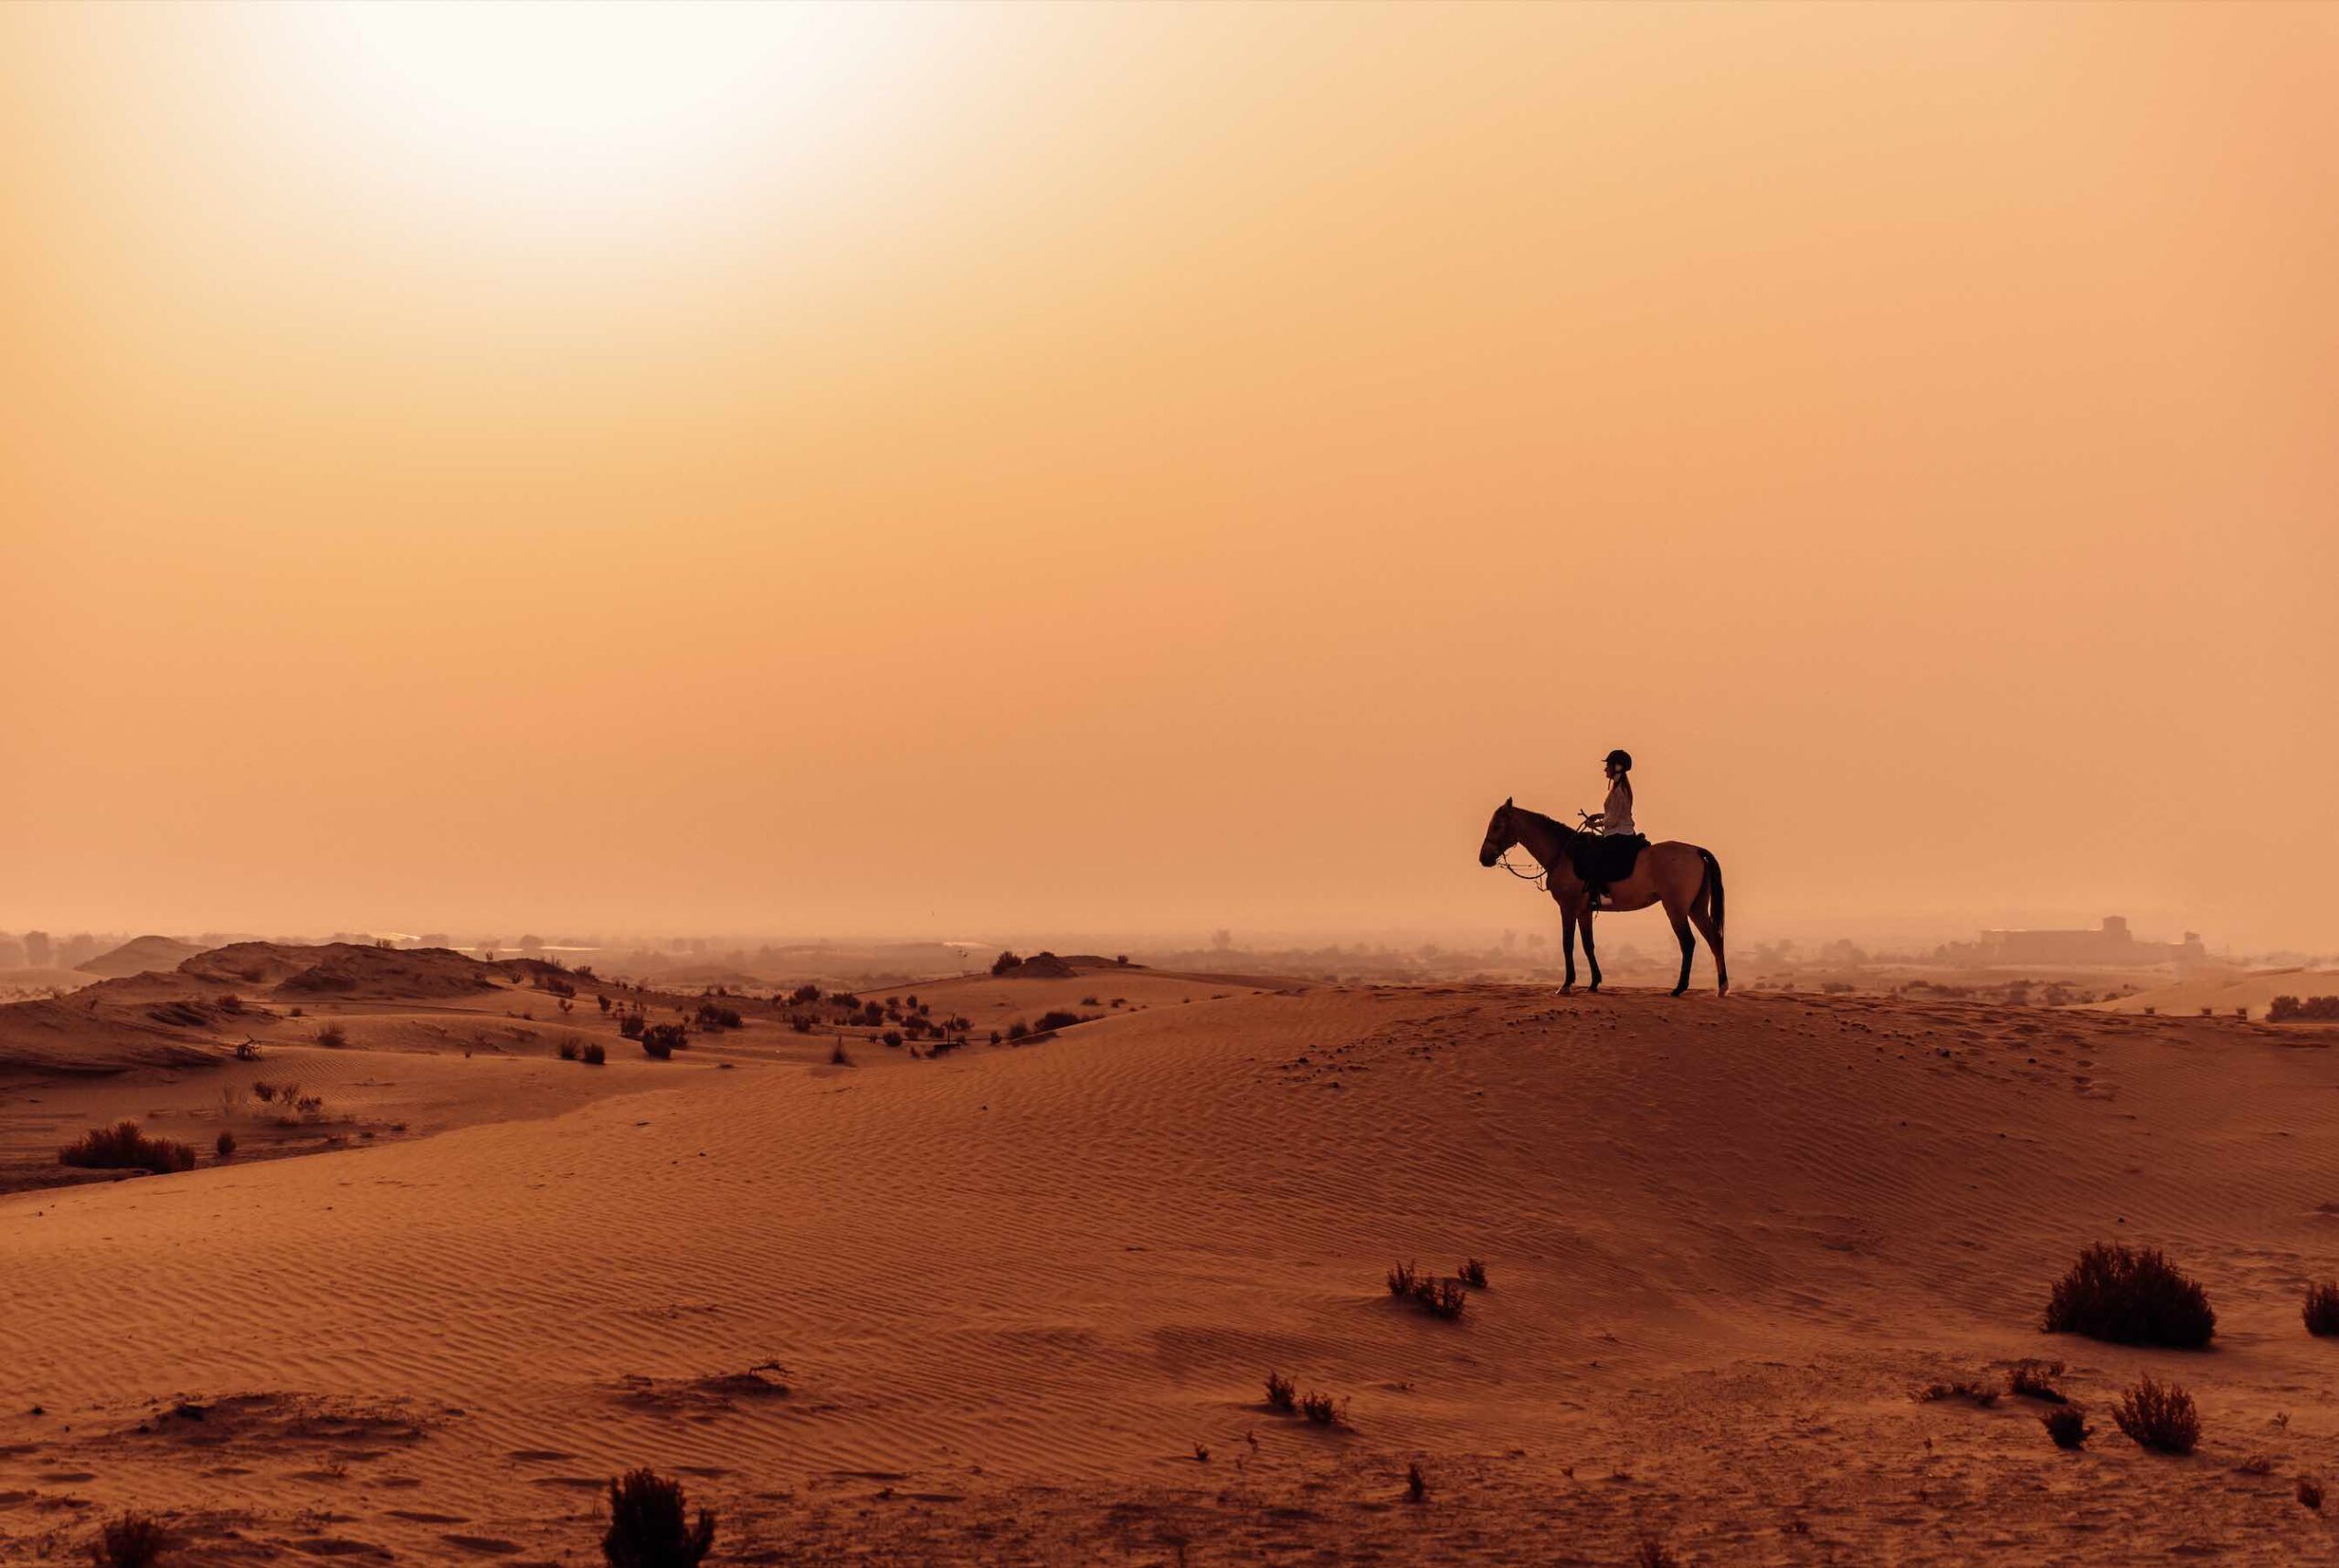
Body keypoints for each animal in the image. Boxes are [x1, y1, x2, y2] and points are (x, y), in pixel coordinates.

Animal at [1468, 805, 1730, 1001]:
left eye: (1497, 825)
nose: (1484, 857)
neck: (1564, 855)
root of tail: (1695, 851)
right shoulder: (1584, 911)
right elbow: (1588, 945)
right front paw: (1594, 983)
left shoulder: (1567, 908)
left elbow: (1567, 944)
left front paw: (1566, 985)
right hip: (1696, 908)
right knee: (1714, 939)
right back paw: (1722, 988)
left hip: (1675, 908)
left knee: (1688, 942)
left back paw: (1679, 988)